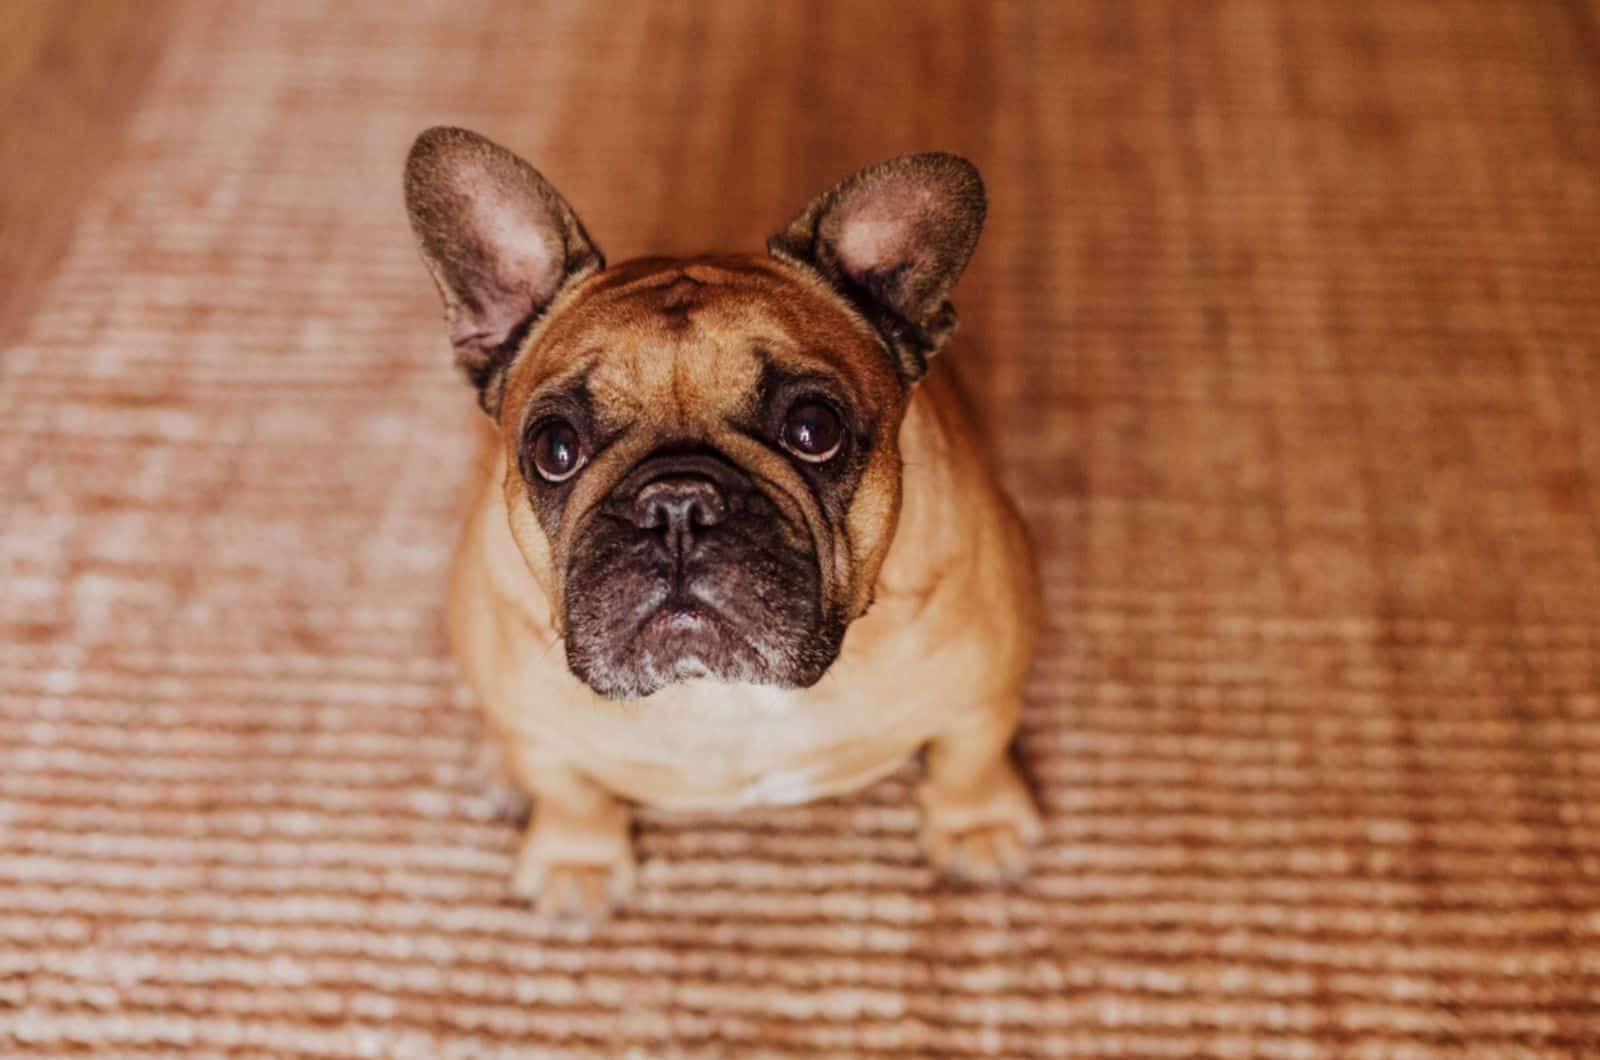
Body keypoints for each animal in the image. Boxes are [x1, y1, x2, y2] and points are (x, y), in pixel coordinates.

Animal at [406, 126, 1043, 922]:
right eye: (554, 448)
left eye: (814, 429)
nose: (676, 504)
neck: (722, 691)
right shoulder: (545, 741)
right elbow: (571, 793)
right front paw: (577, 863)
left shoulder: (983, 694)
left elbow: (970, 760)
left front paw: (979, 827)